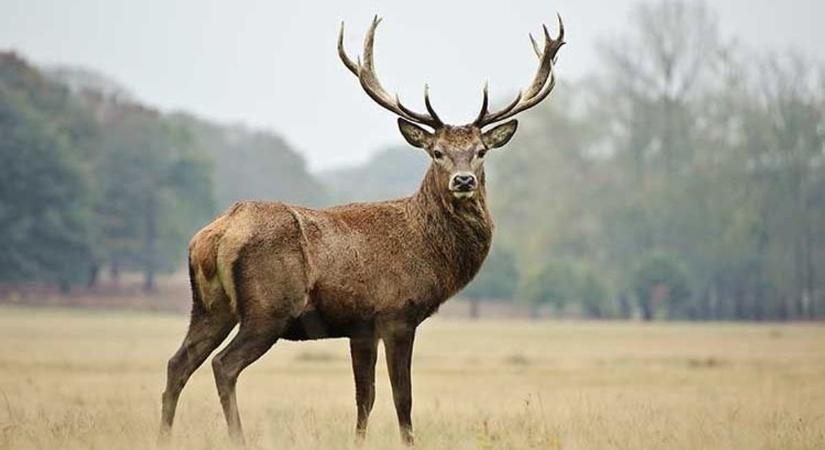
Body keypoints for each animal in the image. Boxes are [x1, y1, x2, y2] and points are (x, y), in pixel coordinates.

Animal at [158, 12, 564, 444]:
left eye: (481, 151)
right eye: (436, 152)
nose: (464, 180)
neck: (429, 252)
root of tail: (215, 234)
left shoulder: (360, 327)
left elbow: (364, 398)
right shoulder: (397, 313)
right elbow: (403, 397)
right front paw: (408, 441)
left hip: (209, 306)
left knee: (177, 363)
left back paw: (164, 436)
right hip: (268, 309)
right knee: (223, 365)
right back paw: (238, 437)